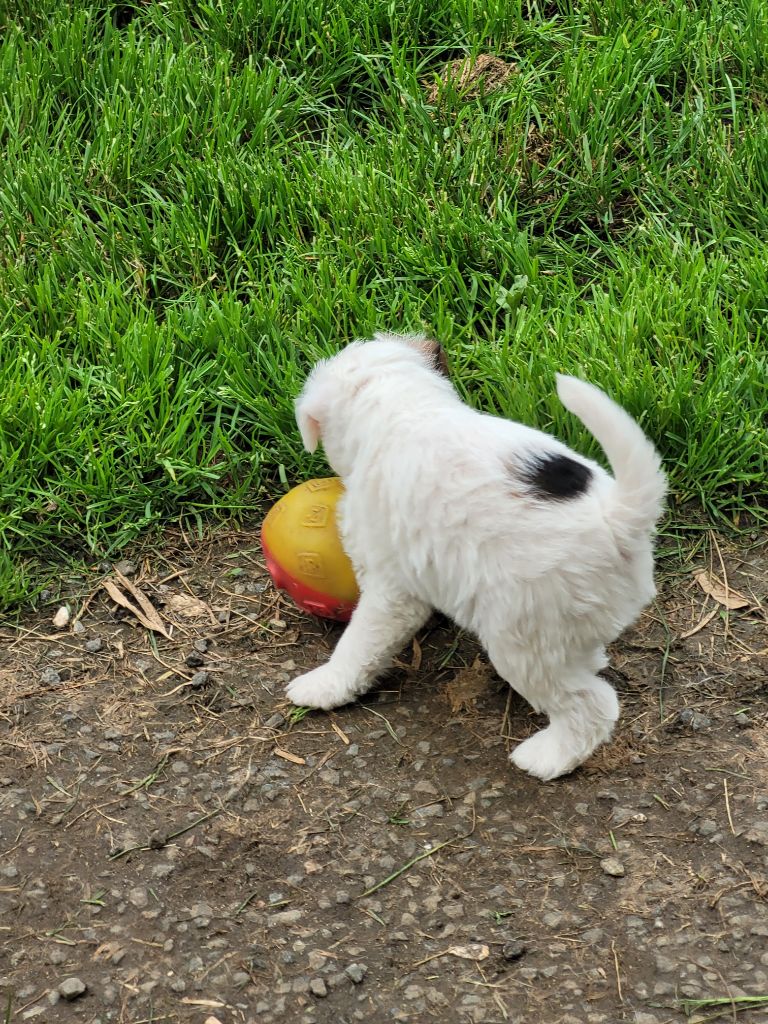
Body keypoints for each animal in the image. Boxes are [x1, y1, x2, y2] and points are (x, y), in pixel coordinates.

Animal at [286, 331, 666, 780]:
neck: (406, 407)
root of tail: (617, 517)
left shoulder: (389, 589)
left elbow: (358, 644)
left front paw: (325, 685)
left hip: (523, 639)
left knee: (591, 704)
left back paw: (547, 758)